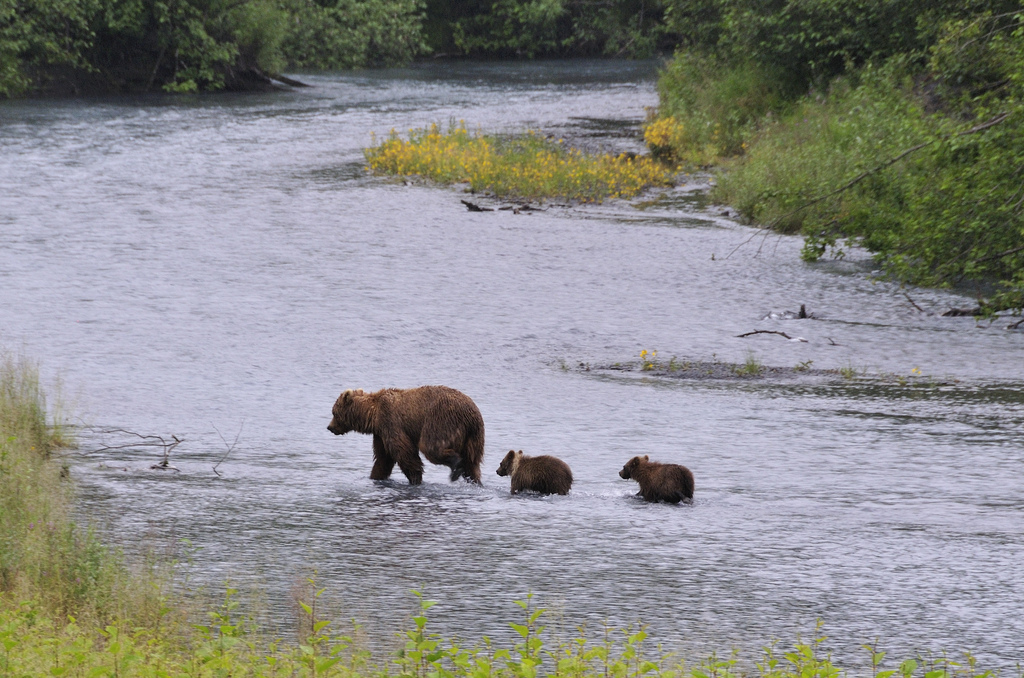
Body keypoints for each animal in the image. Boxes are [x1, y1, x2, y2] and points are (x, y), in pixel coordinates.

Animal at [329, 385, 485, 485]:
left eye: (334, 412)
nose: (330, 427)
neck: (373, 416)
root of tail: (472, 416)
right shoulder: (380, 434)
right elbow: (383, 458)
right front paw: (375, 476)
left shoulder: (391, 422)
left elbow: (404, 452)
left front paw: (415, 479)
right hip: (474, 438)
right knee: (472, 463)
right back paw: (475, 481)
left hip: (441, 420)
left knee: (430, 446)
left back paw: (456, 466)